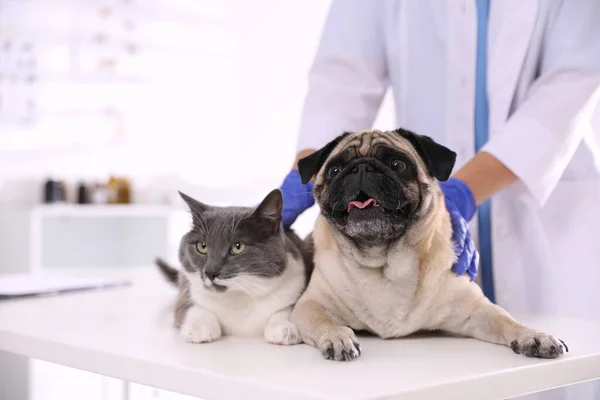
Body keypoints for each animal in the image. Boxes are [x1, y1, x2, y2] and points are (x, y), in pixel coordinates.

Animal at [155, 189, 314, 346]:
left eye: (238, 246)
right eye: (202, 246)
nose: (210, 272)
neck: (238, 299)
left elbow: (288, 309)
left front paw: (284, 328)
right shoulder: (187, 291)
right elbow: (190, 307)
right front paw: (198, 327)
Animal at [288, 129, 568, 362]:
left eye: (397, 164)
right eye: (334, 170)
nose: (362, 168)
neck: (385, 261)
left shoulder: (476, 310)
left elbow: (505, 319)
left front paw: (533, 335)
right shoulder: (310, 306)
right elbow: (325, 322)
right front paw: (337, 337)